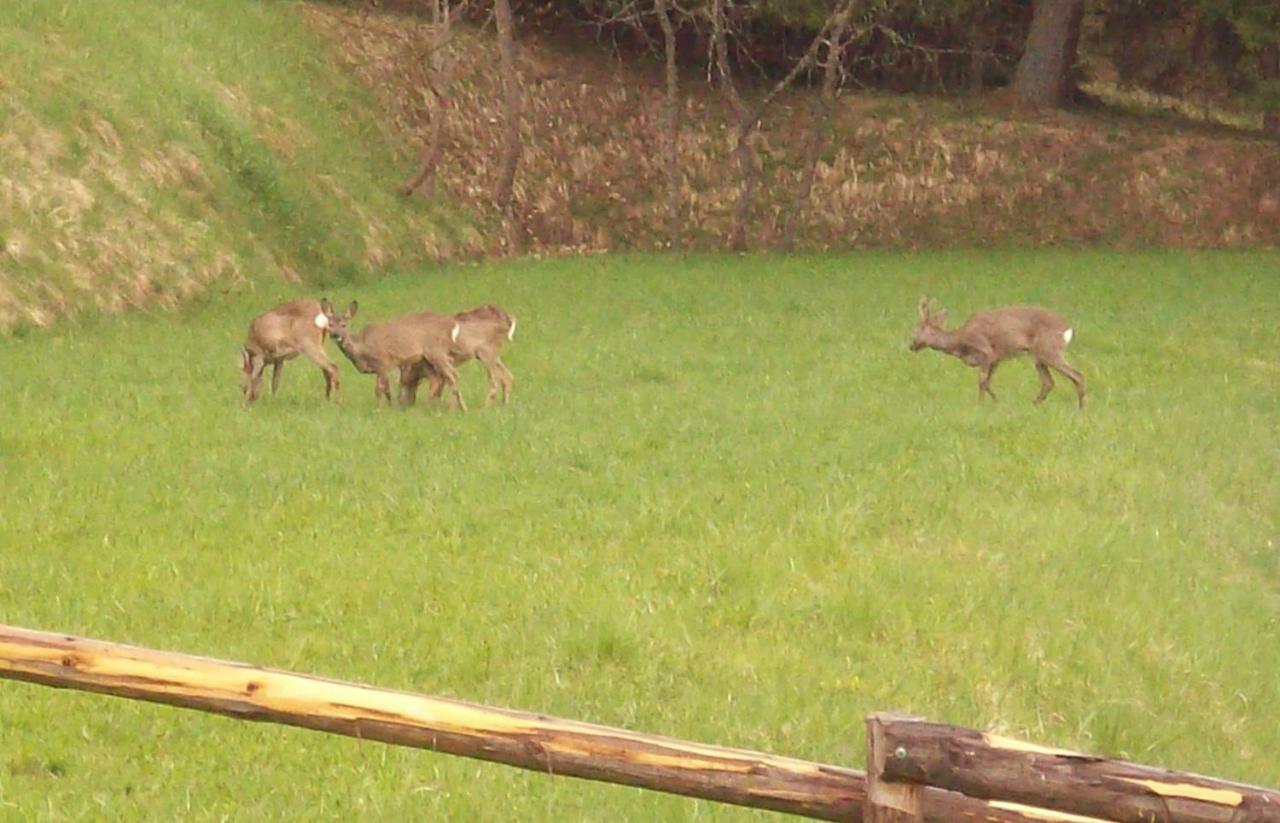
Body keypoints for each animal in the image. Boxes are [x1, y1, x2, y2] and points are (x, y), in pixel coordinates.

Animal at [318, 298, 468, 409]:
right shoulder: (380, 368)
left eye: (343, 325)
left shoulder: (382, 361)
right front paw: (391, 407)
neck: (362, 348)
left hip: (436, 351)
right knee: (437, 379)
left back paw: (459, 408)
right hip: (426, 359)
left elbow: (379, 389)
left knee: (452, 375)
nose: (335, 335)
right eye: (330, 324)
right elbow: (387, 389)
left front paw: (378, 409)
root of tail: (450, 325)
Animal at [906, 298, 1085, 409]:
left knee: (1078, 375)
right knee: (1048, 382)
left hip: (1049, 351)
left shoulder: (986, 351)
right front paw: (995, 402)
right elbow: (987, 382)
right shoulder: (996, 359)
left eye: (917, 329)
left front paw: (981, 405)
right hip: (1038, 357)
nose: (911, 345)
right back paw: (1034, 405)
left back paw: (1081, 411)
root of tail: (1067, 328)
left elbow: (982, 381)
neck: (960, 342)